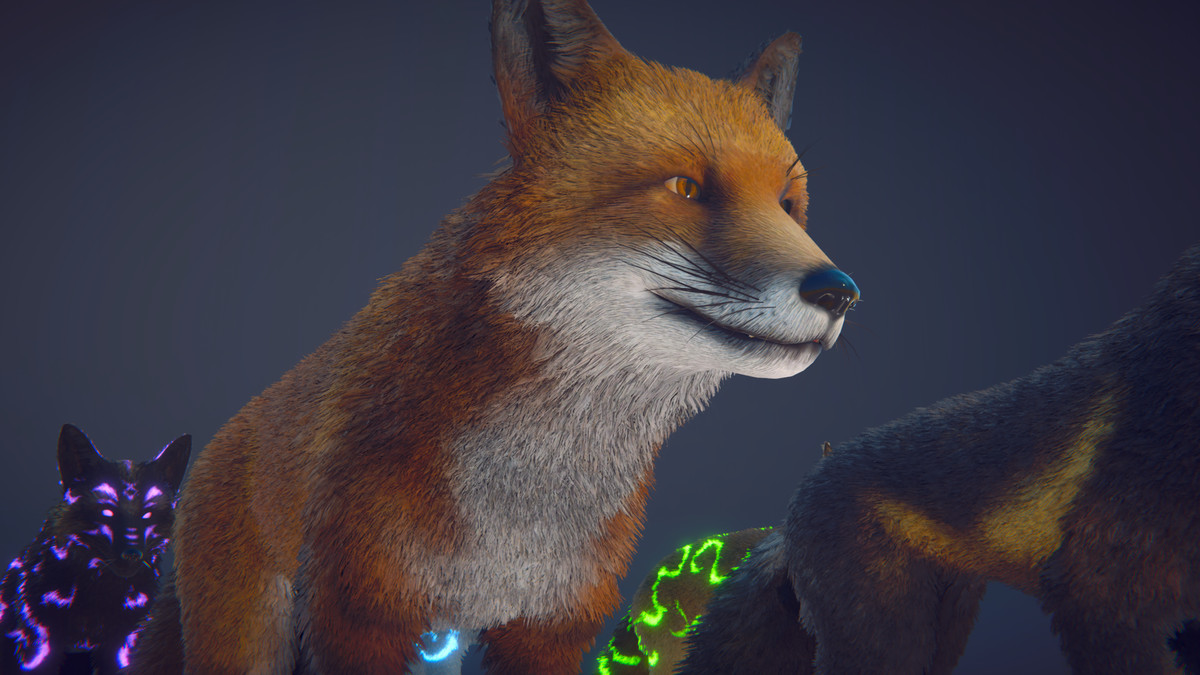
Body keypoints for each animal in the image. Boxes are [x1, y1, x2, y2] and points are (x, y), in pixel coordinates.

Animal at [128, 0, 861, 673]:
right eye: (685, 186)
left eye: (788, 206)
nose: (840, 292)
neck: (522, 512)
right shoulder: (360, 612)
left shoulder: (552, 624)